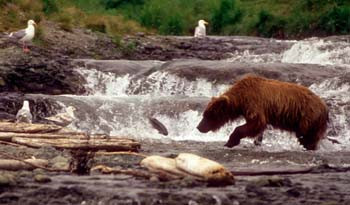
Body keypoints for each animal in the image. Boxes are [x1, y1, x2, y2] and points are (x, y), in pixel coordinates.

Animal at [197, 74, 328, 150]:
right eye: (204, 114)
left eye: (208, 115)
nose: (199, 127)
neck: (240, 99)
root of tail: (324, 106)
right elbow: (258, 127)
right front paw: (257, 141)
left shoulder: (254, 103)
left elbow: (255, 123)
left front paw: (230, 142)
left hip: (307, 117)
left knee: (307, 135)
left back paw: (308, 146)